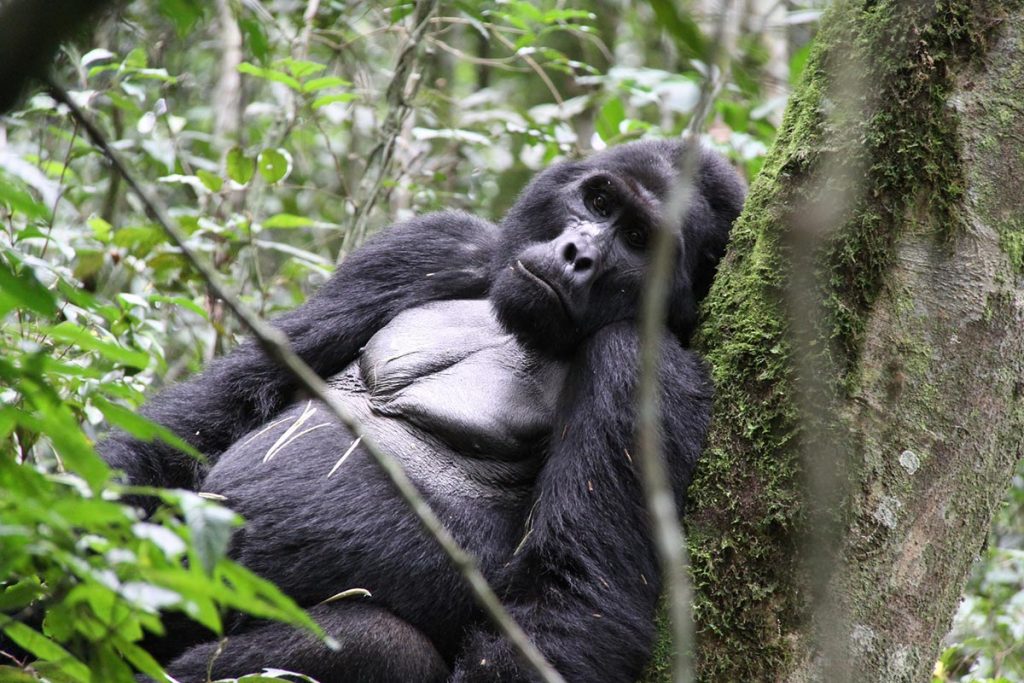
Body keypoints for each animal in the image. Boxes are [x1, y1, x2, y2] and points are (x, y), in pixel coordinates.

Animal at [101, 140, 745, 683]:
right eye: (599, 200)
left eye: (637, 238)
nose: (577, 254)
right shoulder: (431, 246)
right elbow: (210, 413)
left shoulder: (639, 365)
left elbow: (572, 596)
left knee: (380, 645)